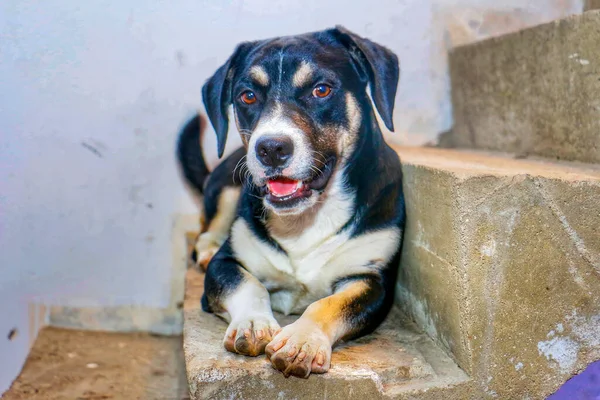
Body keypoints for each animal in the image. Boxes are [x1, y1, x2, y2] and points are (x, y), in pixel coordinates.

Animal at [176, 25, 406, 378]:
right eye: (247, 96)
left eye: (321, 90)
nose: (271, 148)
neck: (304, 220)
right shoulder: (226, 263)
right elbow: (247, 284)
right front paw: (253, 323)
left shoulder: (372, 281)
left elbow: (328, 303)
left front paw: (302, 340)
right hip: (227, 184)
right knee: (207, 230)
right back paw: (207, 247)